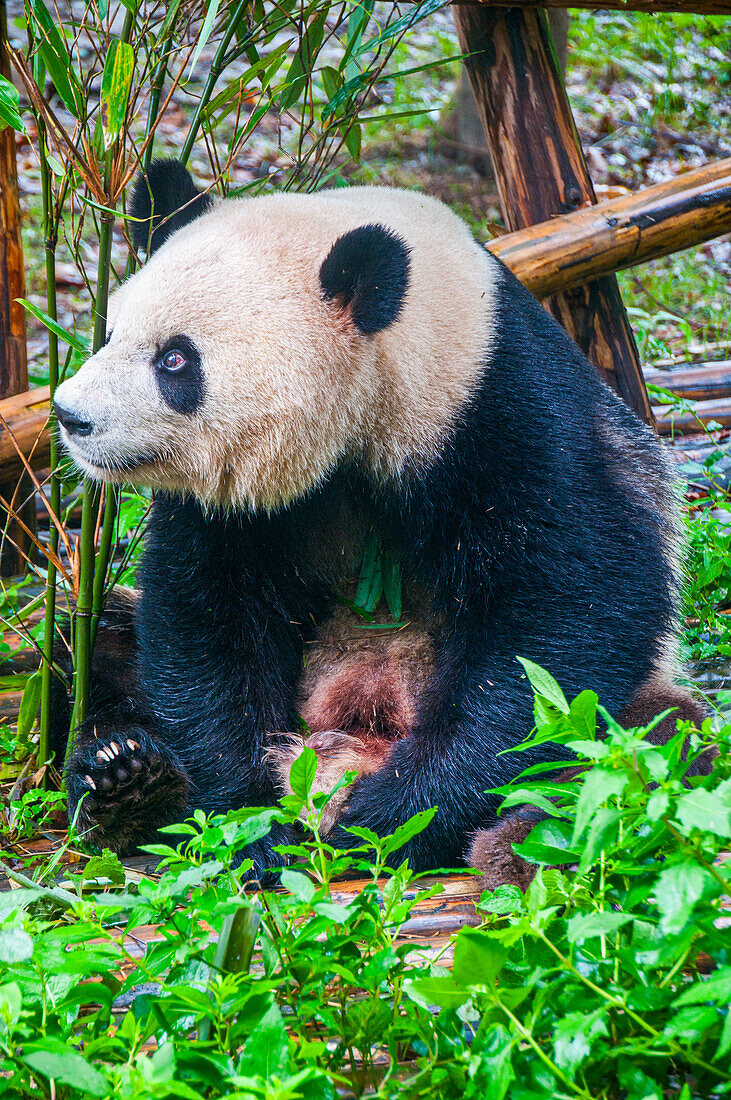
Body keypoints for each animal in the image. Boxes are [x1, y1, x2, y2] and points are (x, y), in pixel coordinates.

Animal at [52, 159, 707, 884]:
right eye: (111, 334)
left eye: (175, 360)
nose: (70, 416)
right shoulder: (227, 504)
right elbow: (206, 620)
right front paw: (255, 822)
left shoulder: (503, 414)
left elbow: (566, 614)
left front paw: (392, 817)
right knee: (98, 644)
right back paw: (126, 776)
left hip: (641, 716)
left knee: (645, 743)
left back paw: (523, 842)